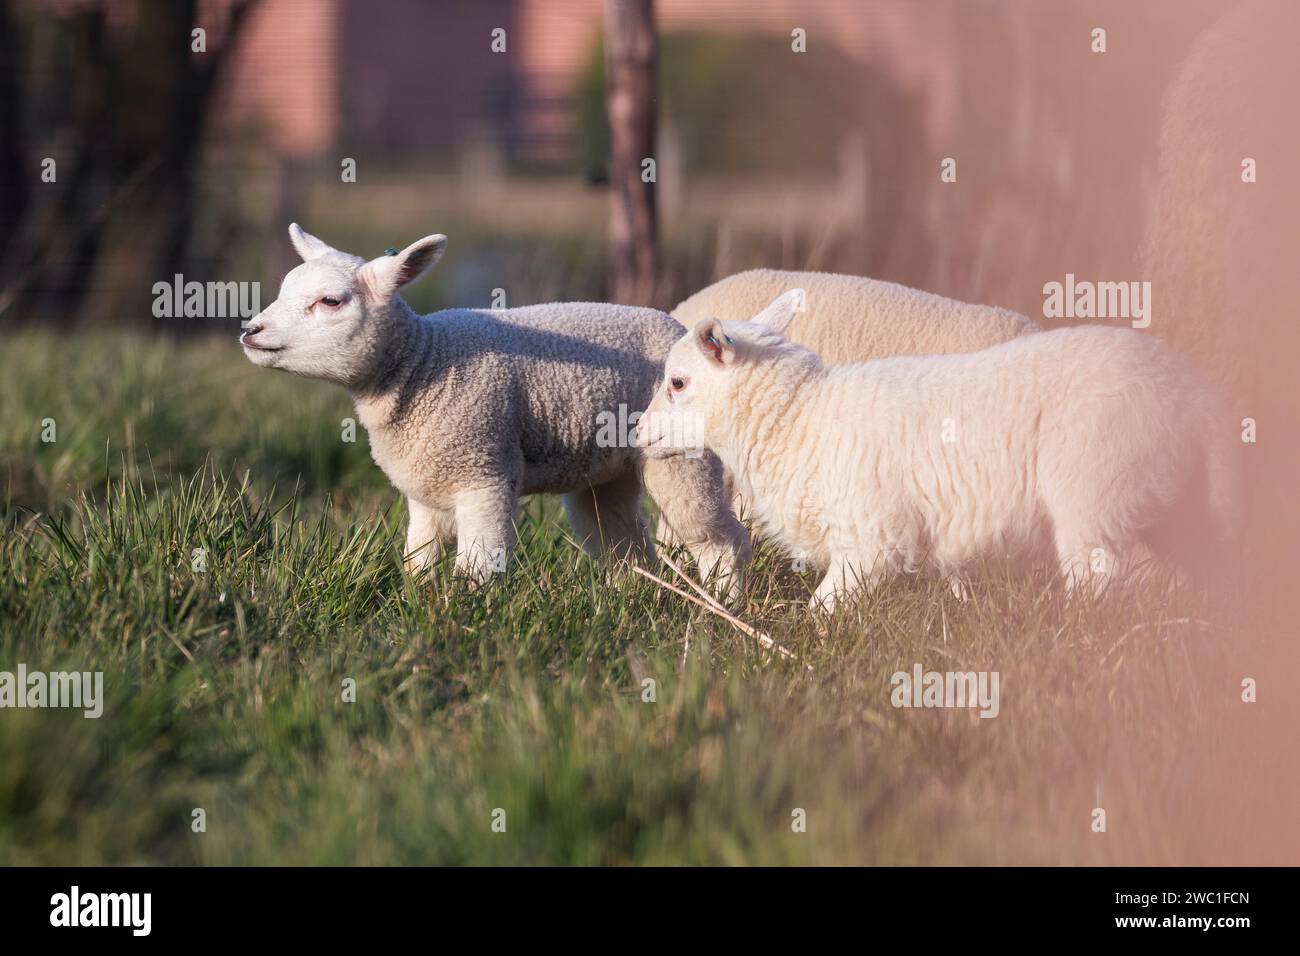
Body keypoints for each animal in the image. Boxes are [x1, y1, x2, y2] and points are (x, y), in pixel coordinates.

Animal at [241, 224, 749, 594]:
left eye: (330, 301)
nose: (250, 331)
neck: (422, 364)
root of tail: (677, 327)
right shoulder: (427, 487)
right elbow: (419, 559)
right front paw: (417, 601)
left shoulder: (482, 471)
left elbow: (478, 566)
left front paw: (469, 614)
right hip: (606, 471)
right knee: (624, 544)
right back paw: (629, 600)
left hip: (681, 455)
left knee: (718, 539)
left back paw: (722, 604)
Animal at [636, 291, 1242, 611]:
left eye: (679, 383)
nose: (636, 433)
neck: (800, 420)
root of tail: (1197, 398)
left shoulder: (872, 538)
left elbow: (823, 611)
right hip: (1166, 504)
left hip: (1094, 495)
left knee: (1099, 584)